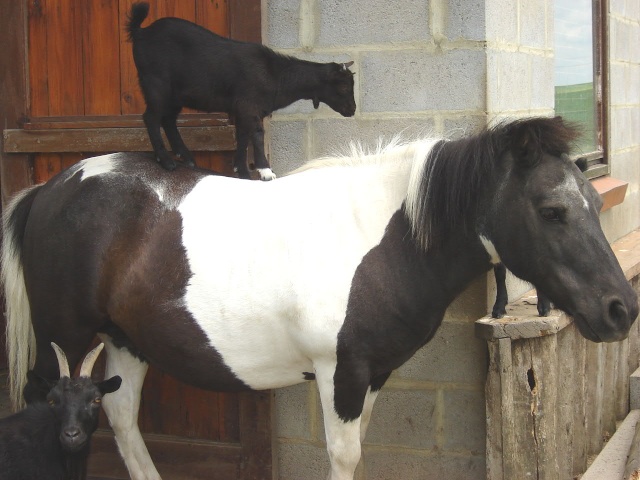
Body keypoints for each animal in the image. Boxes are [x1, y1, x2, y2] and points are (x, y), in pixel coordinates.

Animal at [3, 117, 636, 480]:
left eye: (594, 202)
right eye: (552, 210)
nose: (621, 309)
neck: (382, 237)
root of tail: (52, 188)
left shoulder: (371, 375)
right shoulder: (341, 372)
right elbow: (344, 456)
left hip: (125, 341)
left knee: (121, 419)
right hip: (67, 343)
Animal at [125, 1, 356, 178]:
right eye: (344, 86)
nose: (352, 110)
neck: (276, 74)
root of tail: (141, 32)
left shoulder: (243, 110)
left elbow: (243, 136)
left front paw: (241, 171)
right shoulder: (249, 105)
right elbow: (256, 134)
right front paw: (265, 171)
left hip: (175, 95)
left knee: (168, 120)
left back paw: (187, 158)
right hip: (156, 84)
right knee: (151, 117)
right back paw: (166, 161)